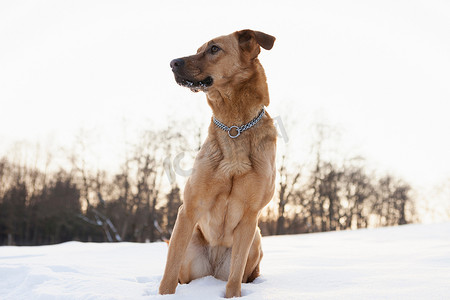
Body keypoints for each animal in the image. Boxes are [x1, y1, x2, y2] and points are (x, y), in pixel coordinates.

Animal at [158, 29, 278, 298]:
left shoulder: (250, 216)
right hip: (191, 243)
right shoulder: (189, 209)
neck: (234, 125)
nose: (172, 63)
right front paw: (164, 294)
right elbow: (169, 271)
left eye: (214, 49)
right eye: (198, 49)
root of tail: (211, 271)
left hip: (256, 238)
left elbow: (234, 278)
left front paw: (233, 295)